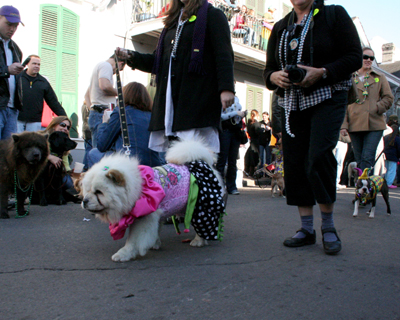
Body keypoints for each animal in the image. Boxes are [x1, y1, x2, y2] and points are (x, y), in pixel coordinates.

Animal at [79, 140, 227, 262]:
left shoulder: (143, 218)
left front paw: (124, 254)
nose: (84, 201)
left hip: (200, 207)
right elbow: (154, 230)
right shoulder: (154, 214)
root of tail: (201, 161)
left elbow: (133, 240)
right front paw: (154, 243)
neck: (137, 188)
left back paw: (199, 241)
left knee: (203, 225)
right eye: (87, 190)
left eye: (99, 192)